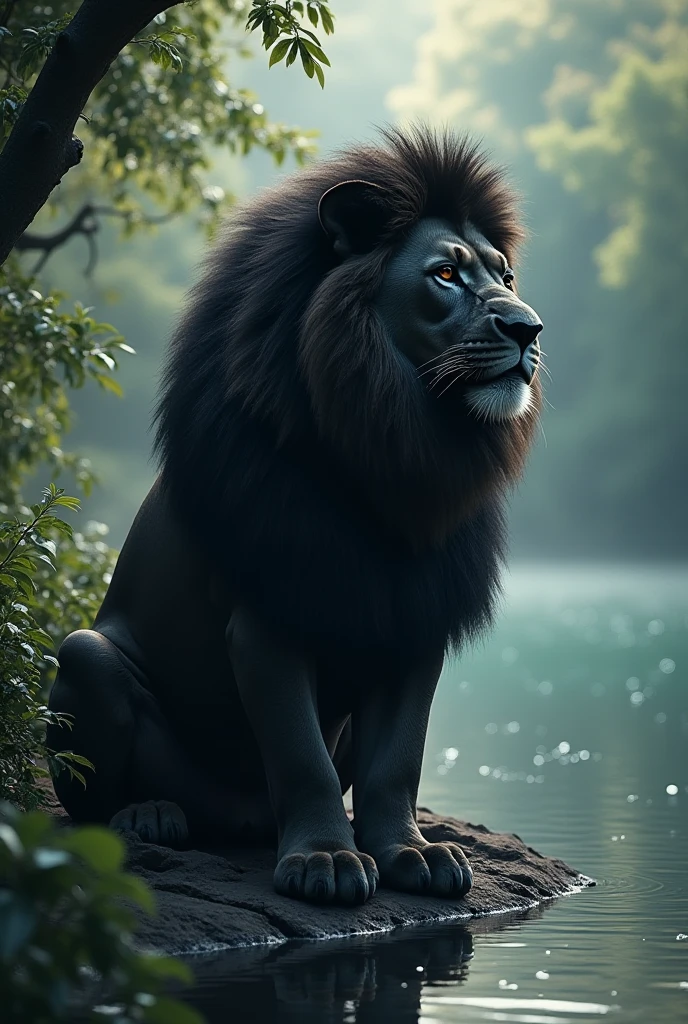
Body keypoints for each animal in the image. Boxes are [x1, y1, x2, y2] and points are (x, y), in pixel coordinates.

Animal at [48, 127, 543, 906]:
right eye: (444, 274)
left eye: (506, 277)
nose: (529, 329)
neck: (394, 457)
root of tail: (239, 818)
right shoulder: (269, 617)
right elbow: (299, 754)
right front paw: (325, 860)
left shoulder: (416, 618)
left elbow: (396, 763)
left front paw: (414, 854)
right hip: (85, 656)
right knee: (93, 800)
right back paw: (150, 815)